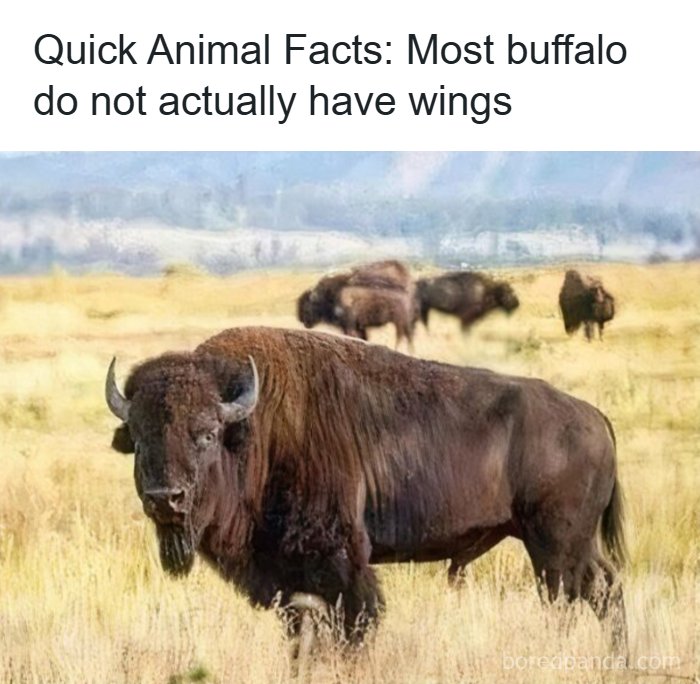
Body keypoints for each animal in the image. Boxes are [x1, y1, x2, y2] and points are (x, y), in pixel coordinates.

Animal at [106, 326, 627, 653]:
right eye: (138, 438)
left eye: (207, 434)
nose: (165, 499)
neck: (255, 432)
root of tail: (594, 417)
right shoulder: (288, 581)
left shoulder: (341, 566)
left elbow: (354, 626)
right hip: (573, 546)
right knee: (607, 590)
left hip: (554, 548)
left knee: (576, 597)